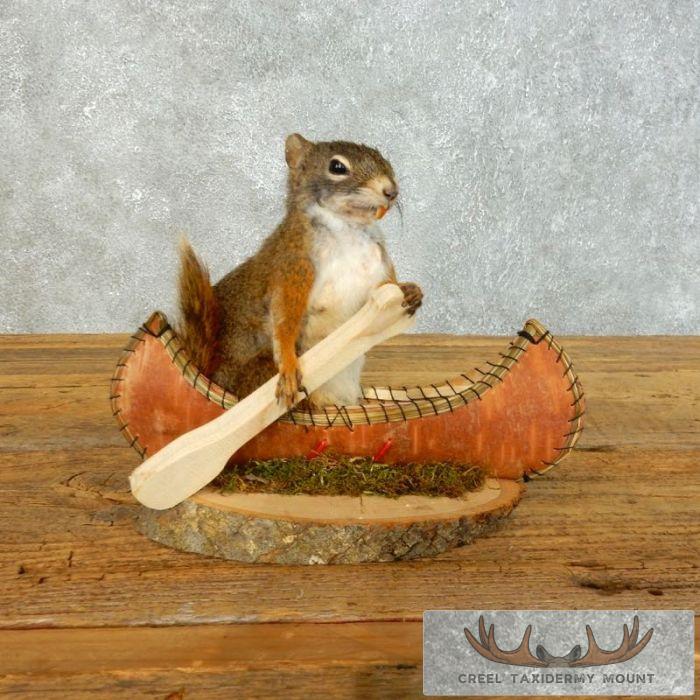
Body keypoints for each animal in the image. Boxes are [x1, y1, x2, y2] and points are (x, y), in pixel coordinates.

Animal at [177, 133, 422, 409]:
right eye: (337, 167)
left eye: (383, 158)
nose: (391, 191)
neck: (348, 228)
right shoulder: (293, 267)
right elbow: (285, 319)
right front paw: (289, 366)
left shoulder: (380, 267)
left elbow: (381, 297)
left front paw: (409, 291)